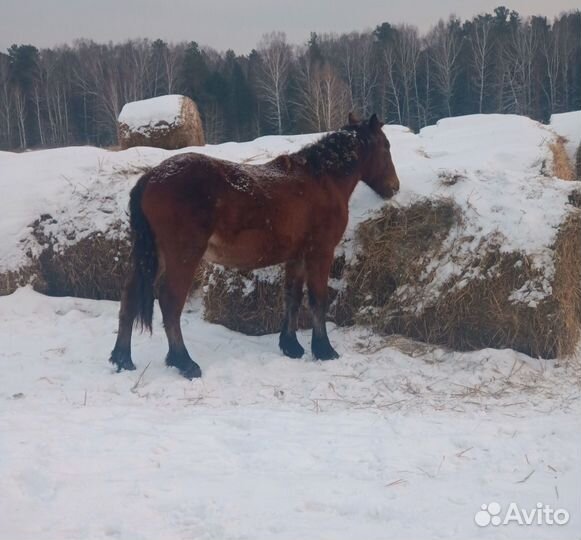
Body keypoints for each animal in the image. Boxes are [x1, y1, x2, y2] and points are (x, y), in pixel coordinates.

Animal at [110, 112, 398, 378]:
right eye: (386, 146)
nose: (394, 187)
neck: (322, 180)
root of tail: (151, 177)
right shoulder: (320, 252)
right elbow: (318, 299)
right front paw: (324, 349)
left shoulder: (297, 256)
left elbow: (292, 296)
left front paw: (291, 345)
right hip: (182, 257)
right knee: (170, 302)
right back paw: (184, 362)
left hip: (155, 256)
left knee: (130, 296)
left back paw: (122, 359)